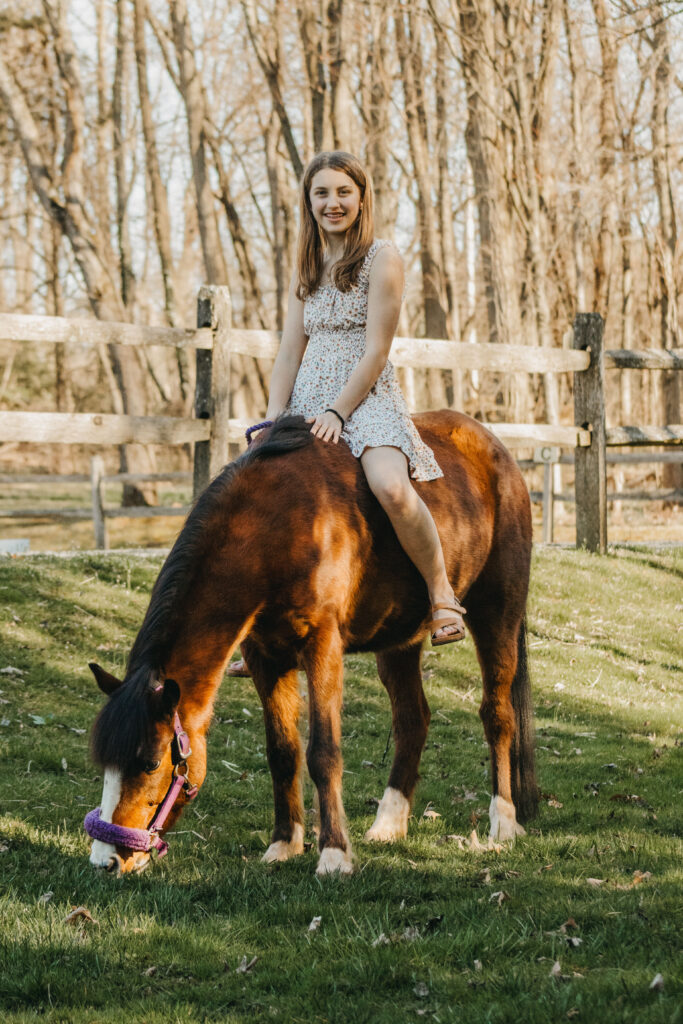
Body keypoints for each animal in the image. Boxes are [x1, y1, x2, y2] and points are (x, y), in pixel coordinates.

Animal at [85, 411, 536, 876]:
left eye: (151, 762)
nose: (105, 860)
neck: (275, 526)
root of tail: (494, 449)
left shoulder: (322, 647)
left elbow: (324, 752)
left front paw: (333, 854)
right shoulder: (266, 657)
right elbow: (283, 752)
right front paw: (284, 843)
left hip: (497, 615)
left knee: (497, 715)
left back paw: (503, 822)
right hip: (399, 641)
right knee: (413, 719)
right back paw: (389, 823)